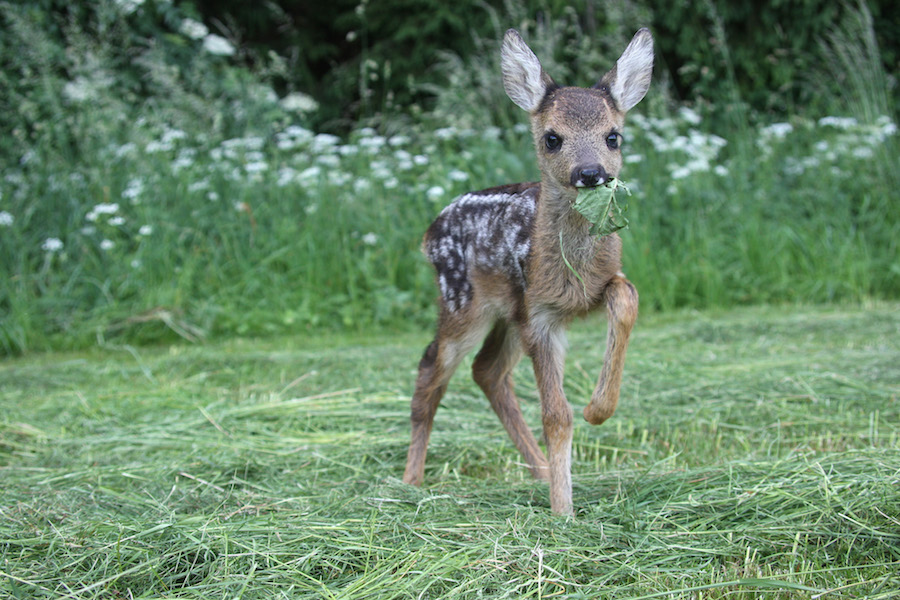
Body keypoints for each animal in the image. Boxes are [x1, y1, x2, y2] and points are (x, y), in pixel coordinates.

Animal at [404, 29, 652, 516]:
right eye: (552, 138)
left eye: (613, 136)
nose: (590, 172)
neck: (571, 270)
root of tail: (428, 232)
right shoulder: (540, 315)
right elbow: (556, 414)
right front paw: (564, 513)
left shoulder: (593, 289)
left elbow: (627, 298)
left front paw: (599, 409)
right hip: (463, 304)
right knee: (430, 372)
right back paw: (409, 482)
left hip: (509, 314)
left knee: (487, 372)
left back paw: (539, 471)